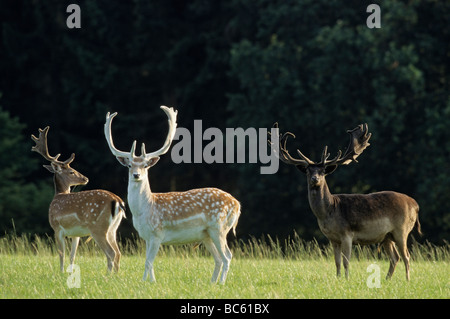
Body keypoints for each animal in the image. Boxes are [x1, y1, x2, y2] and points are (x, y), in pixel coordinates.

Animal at [103, 107, 241, 284]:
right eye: (129, 165)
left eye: (145, 165)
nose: (136, 175)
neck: (144, 210)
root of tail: (237, 204)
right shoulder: (146, 236)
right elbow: (148, 261)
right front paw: (151, 282)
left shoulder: (157, 233)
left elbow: (148, 262)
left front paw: (145, 283)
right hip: (206, 235)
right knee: (218, 258)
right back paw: (212, 283)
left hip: (219, 227)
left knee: (227, 256)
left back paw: (221, 283)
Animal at [270, 122, 422, 280]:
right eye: (307, 170)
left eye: (323, 171)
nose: (315, 179)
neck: (329, 212)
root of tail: (415, 205)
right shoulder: (333, 238)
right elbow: (337, 262)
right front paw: (338, 278)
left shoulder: (347, 234)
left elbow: (346, 261)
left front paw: (347, 279)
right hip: (387, 236)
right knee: (395, 257)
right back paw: (387, 279)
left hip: (401, 229)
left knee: (406, 256)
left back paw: (407, 280)